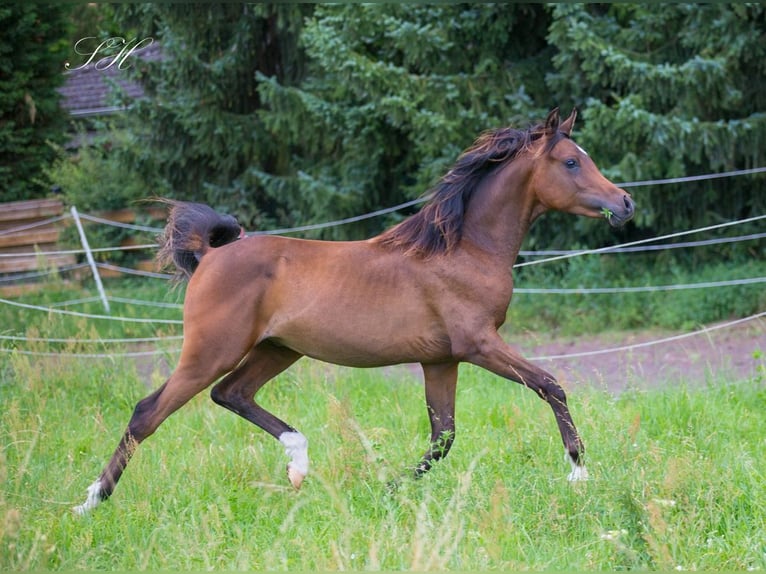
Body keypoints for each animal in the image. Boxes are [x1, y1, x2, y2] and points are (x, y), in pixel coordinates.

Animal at [73, 110, 636, 516]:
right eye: (571, 162)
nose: (626, 203)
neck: (462, 249)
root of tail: (210, 255)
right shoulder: (479, 344)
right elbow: (550, 386)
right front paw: (577, 472)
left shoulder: (442, 359)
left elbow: (443, 436)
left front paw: (388, 487)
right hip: (211, 350)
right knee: (149, 412)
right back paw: (90, 502)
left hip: (277, 350)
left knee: (231, 394)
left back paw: (298, 465)